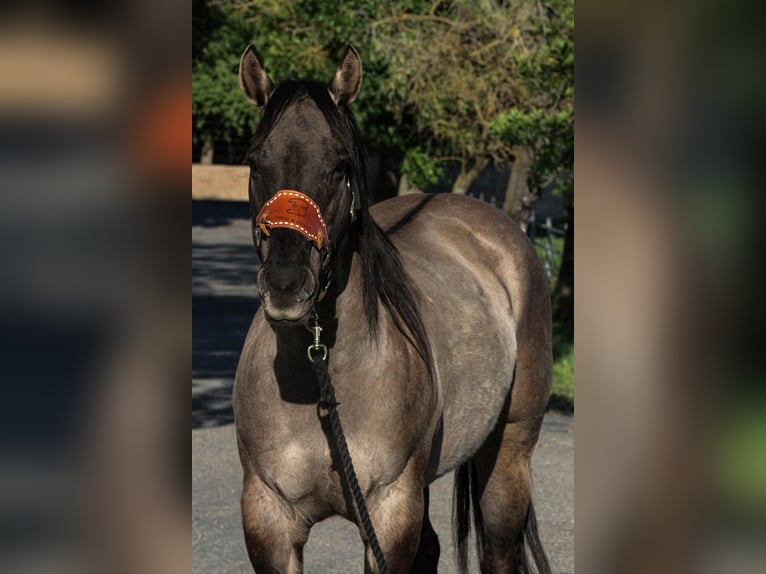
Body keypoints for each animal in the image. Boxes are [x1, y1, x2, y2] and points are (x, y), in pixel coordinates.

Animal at [232, 45, 552, 574]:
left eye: (340, 165)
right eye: (255, 163)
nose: (285, 286)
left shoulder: (390, 511)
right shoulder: (269, 518)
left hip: (509, 455)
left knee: (499, 548)